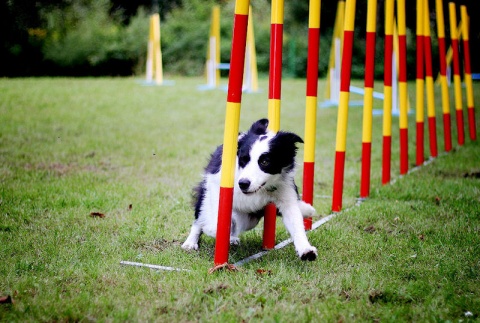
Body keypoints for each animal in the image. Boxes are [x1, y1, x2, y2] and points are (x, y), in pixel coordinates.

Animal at [182, 119, 316, 260]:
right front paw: (219, 233)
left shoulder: (285, 191)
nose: (243, 184)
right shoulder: (216, 184)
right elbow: (214, 222)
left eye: (265, 162)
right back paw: (191, 242)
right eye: (243, 160)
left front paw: (306, 250)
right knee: (200, 218)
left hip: (250, 219)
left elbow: (295, 220)